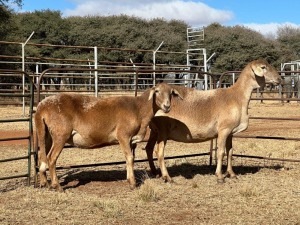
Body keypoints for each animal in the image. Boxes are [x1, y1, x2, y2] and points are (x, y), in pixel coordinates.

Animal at [34, 81, 182, 191]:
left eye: (171, 93)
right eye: (157, 91)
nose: (167, 106)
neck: (139, 109)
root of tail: (41, 107)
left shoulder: (130, 139)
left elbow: (129, 158)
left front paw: (129, 179)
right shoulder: (123, 135)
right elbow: (130, 158)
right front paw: (133, 183)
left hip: (46, 135)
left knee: (42, 157)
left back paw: (44, 183)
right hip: (60, 134)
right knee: (51, 158)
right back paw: (57, 186)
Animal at [145, 59, 282, 183]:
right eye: (263, 67)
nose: (279, 79)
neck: (238, 97)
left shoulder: (231, 132)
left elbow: (230, 152)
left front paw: (232, 174)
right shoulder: (223, 130)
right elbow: (221, 152)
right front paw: (220, 176)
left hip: (155, 131)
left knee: (149, 148)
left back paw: (155, 173)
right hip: (163, 130)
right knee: (159, 151)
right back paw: (167, 177)